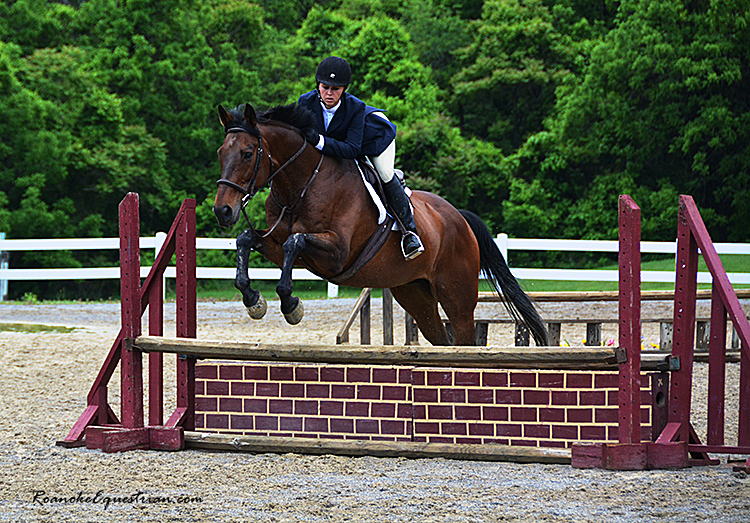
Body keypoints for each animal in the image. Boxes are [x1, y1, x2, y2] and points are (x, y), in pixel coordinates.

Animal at [213, 103, 548, 346]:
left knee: (464, 338)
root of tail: (459, 217)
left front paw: (291, 304)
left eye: (247, 154)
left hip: (457, 297)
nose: (223, 211)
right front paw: (253, 299)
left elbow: (293, 242)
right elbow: (247, 238)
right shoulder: (279, 243)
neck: (301, 185)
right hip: (415, 294)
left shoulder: (336, 254)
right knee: (441, 339)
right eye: (220, 153)